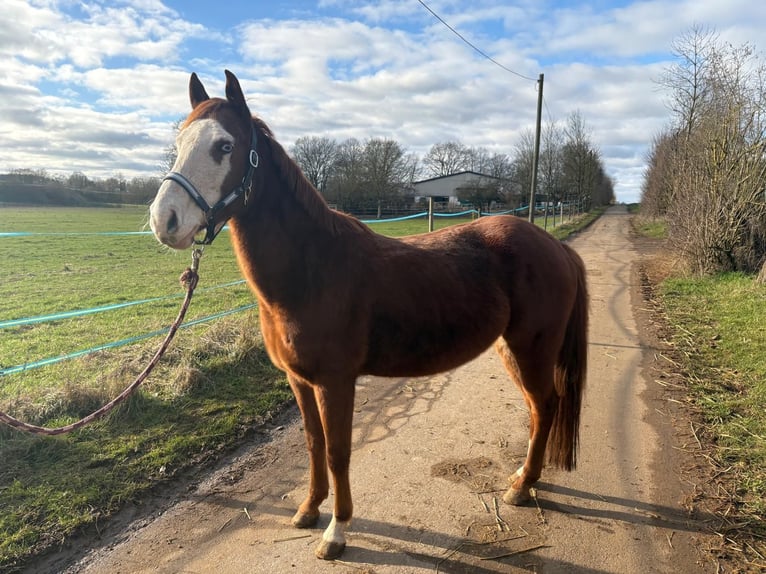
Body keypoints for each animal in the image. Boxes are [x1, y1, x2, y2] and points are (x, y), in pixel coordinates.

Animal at [149, 70, 588, 561]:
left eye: (224, 146)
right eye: (179, 141)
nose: (164, 220)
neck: (313, 269)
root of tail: (557, 247)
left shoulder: (335, 382)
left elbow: (338, 451)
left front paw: (336, 532)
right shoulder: (299, 381)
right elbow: (314, 444)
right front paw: (308, 510)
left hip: (531, 349)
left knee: (545, 404)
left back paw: (521, 487)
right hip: (510, 350)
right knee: (536, 407)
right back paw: (520, 477)